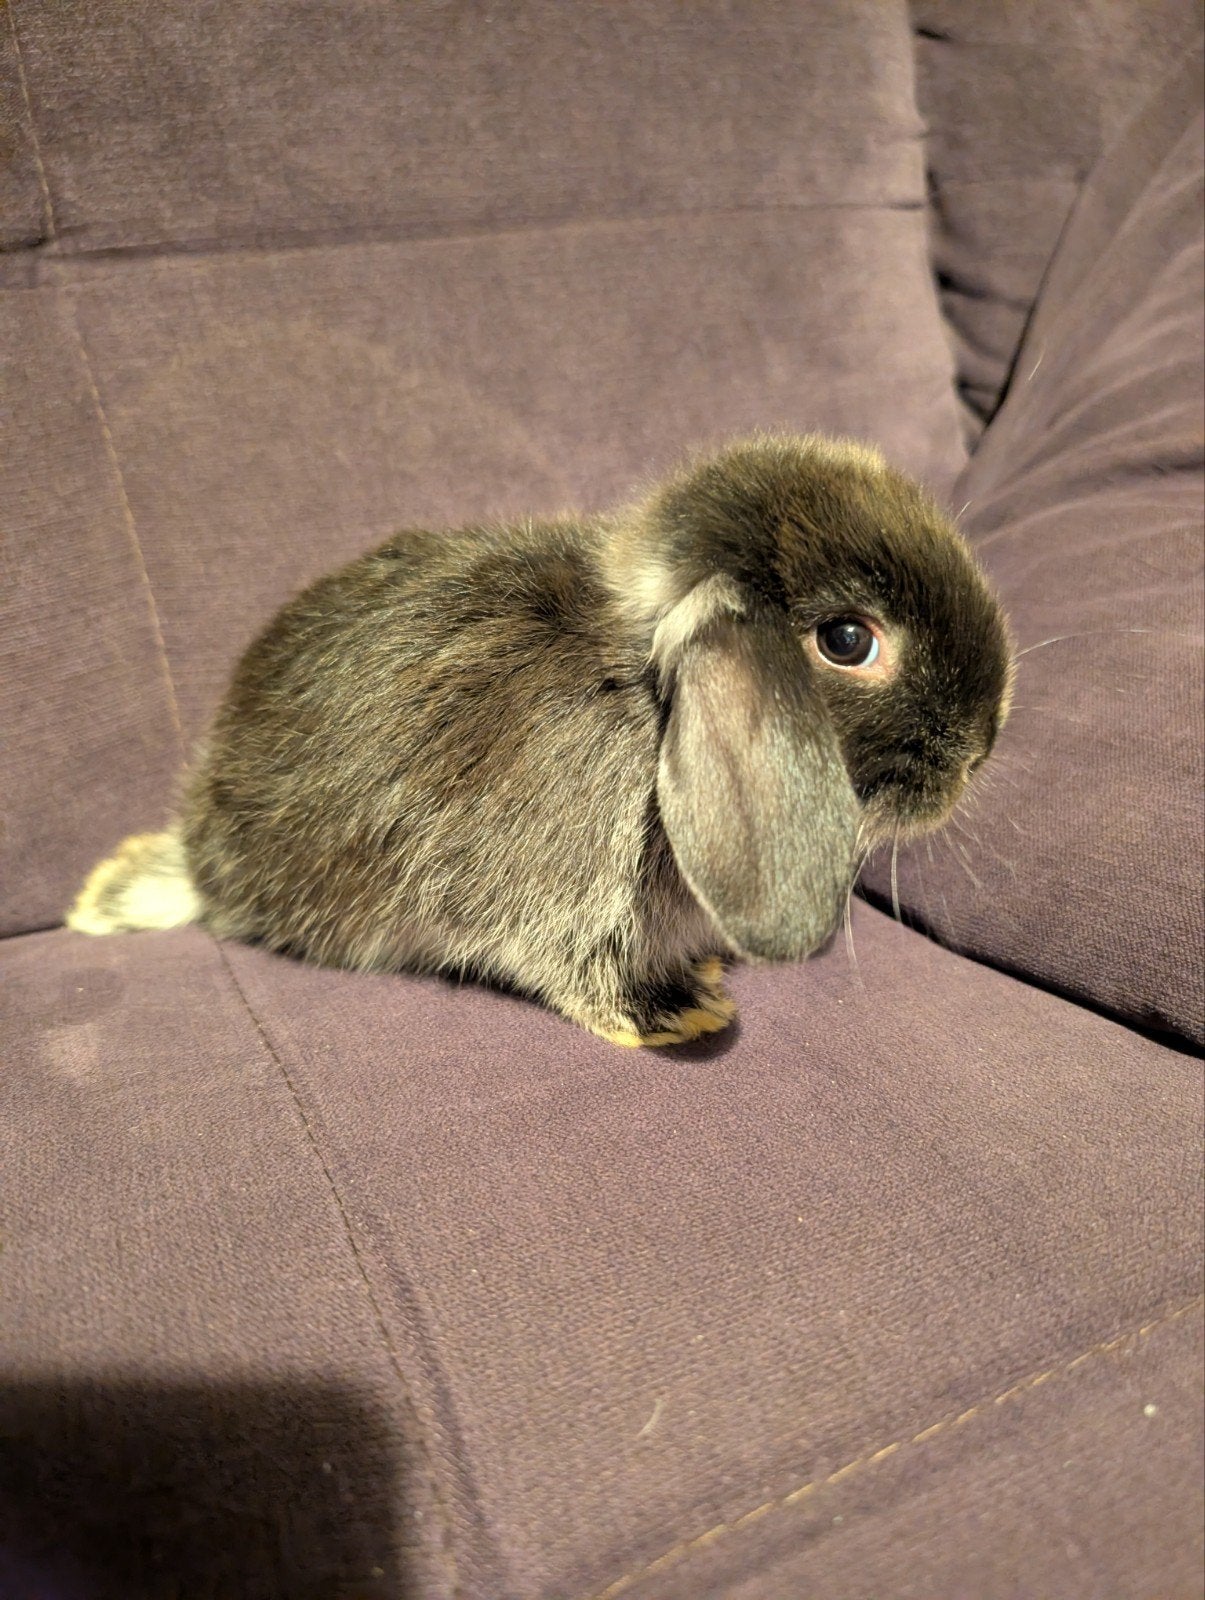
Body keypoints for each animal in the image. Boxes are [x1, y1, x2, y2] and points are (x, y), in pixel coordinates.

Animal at [68, 434, 1012, 1045]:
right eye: (847, 641)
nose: (980, 748)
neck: (638, 699)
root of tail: (201, 853)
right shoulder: (551, 898)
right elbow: (566, 964)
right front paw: (678, 1014)